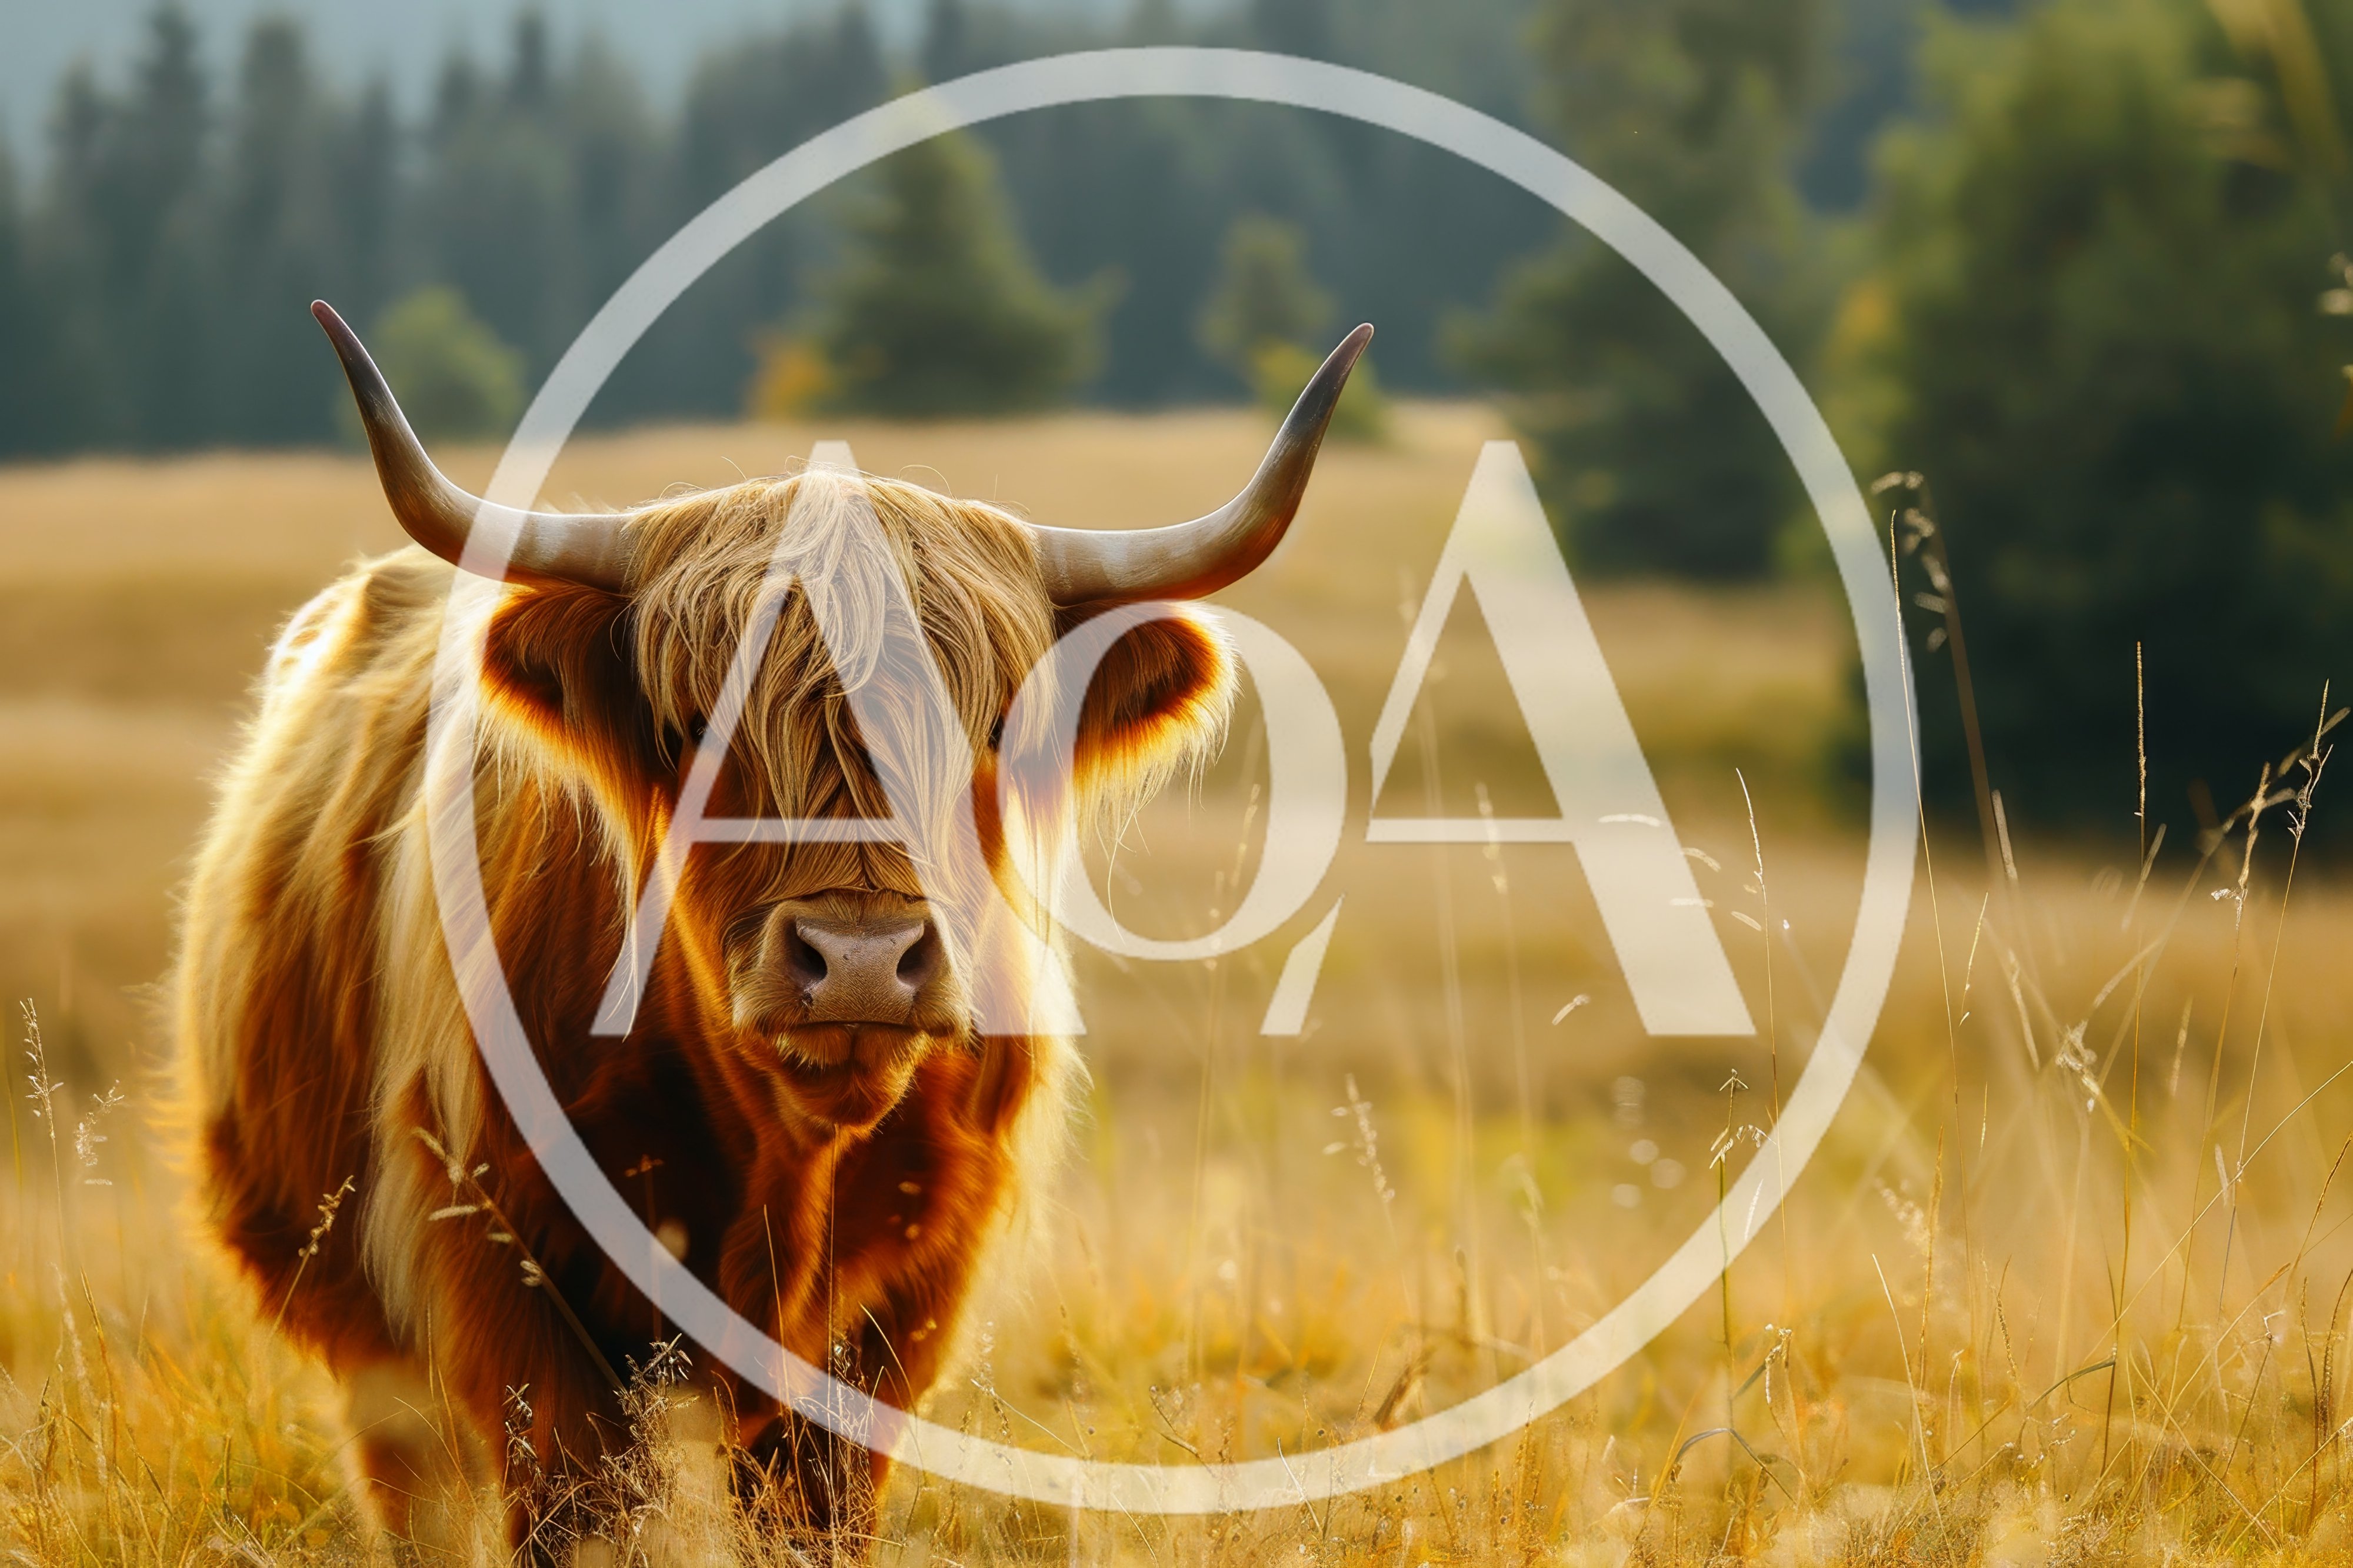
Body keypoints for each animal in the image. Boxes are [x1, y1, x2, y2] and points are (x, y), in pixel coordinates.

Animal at [173, 299, 1367, 1557]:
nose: (861, 962)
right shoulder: (510, 1270)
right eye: (694, 727)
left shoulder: (902, 1305)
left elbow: (817, 1513)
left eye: (990, 726)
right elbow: (575, 1507)